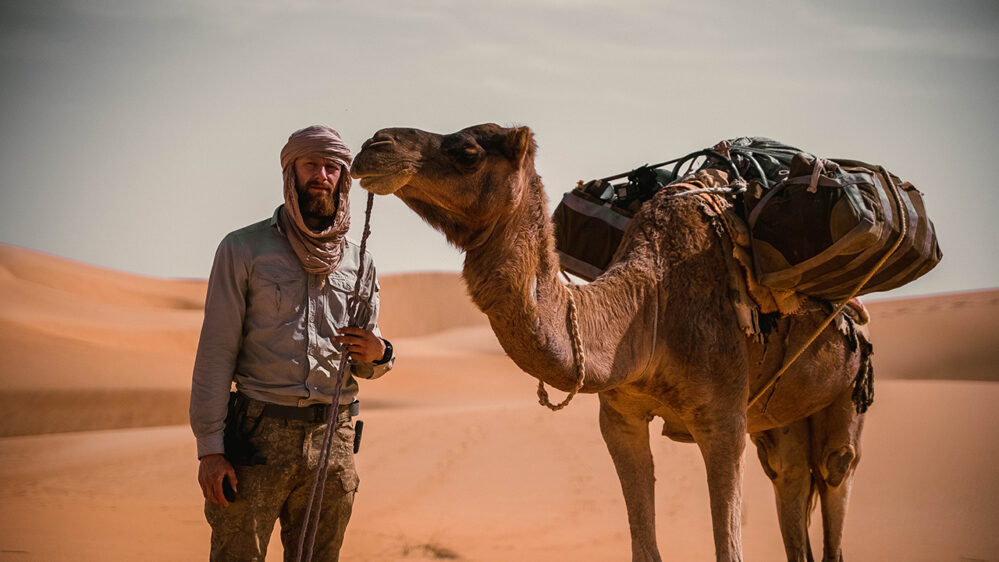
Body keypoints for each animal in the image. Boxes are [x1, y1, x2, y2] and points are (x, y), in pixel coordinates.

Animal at [350, 123, 868, 560]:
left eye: (468, 153)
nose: (374, 144)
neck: (650, 308)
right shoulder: (620, 417)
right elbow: (645, 548)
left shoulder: (723, 420)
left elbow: (728, 549)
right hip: (781, 419)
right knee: (791, 474)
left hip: (847, 390)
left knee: (836, 468)